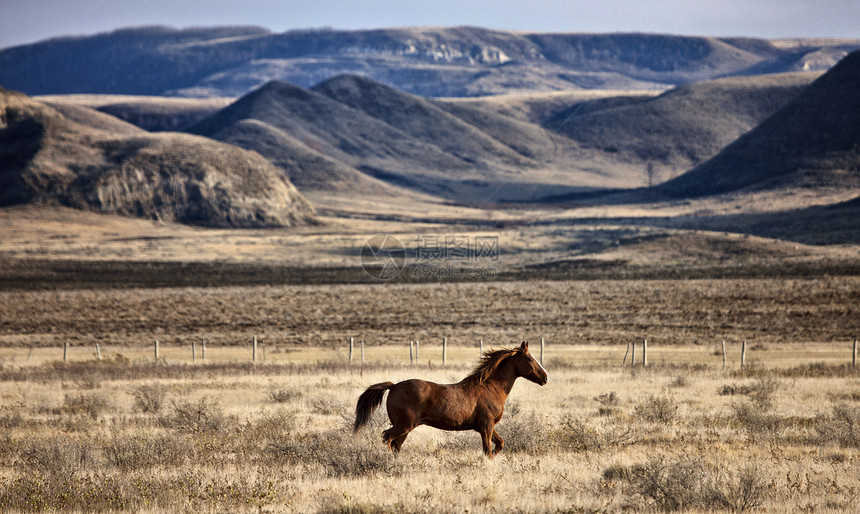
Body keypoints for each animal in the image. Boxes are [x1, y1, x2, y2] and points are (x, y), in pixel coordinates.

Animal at [352, 340, 548, 456]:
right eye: (530, 359)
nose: (545, 378)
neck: (490, 387)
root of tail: (393, 386)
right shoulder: (486, 426)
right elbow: (488, 450)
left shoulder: (486, 426)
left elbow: (499, 444)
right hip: (404, 425)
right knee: (387, 438)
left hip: (404, 428)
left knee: (395, 445)